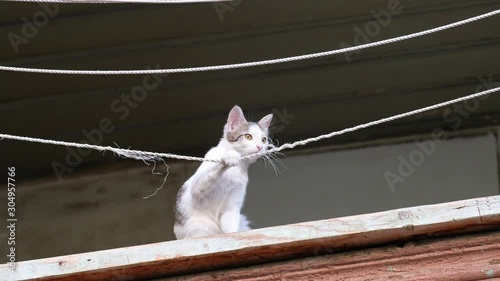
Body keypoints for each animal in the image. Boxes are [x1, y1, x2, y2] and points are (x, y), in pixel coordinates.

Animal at [173, 105, 274, 238]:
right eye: (248, 136)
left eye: (263, 139)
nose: (260, 147)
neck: (237, 169)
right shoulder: (198, 189)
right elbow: (208, 176)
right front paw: (230, 157)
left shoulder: (232, 207)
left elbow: (230, 226)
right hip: (198, 226)